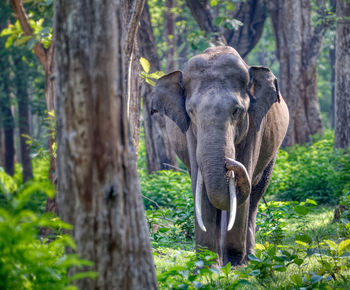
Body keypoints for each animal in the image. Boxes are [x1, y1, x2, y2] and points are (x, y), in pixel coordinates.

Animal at [152, 46, 288, 266]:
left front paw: (234, 264)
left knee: (254, 198)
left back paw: (249, 258)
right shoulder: (190, 132)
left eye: (237, 110)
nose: (228, 163)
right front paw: (206, 265)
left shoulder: (254, 127)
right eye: (191, 111)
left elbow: (243, 179)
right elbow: (201, 188)